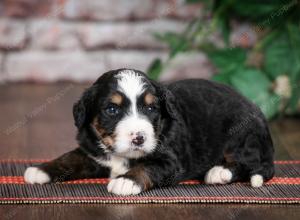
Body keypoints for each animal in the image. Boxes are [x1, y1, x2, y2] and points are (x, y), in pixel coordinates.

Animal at [24, 68, 276, 194]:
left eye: (151, 108)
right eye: (112, 109)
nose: (139, 138)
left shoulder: (171, 161)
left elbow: (147, 167)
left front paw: (126, 182)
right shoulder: (91, 153)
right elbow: (68, 159)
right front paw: (40, 170)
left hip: (241, 135)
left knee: (252, 164)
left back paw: (218, 172)